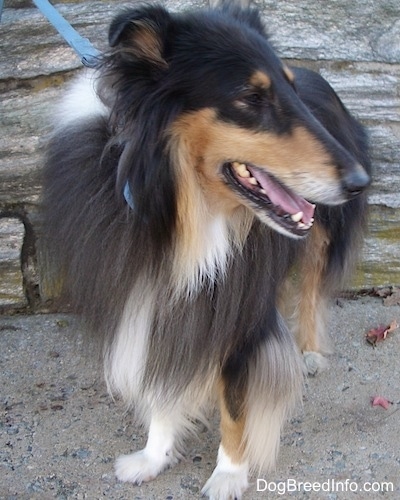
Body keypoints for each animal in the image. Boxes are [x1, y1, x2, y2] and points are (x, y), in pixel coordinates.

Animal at [41, 1, 372, 498]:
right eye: (250, 97)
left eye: (289, 91)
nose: (360, 182)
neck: (182, 211)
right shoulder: (150, 295)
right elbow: (163, 376)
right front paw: (154, 456)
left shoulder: (239, 308)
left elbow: (236, 401)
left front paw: (229, 474)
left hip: (320, 234)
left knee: (313, 285)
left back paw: (310, 351)